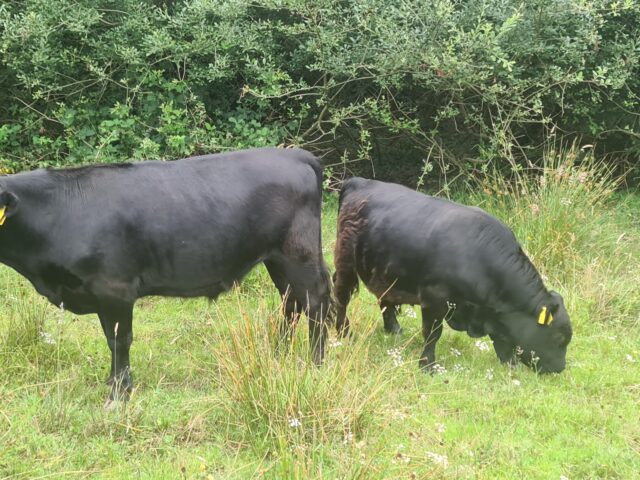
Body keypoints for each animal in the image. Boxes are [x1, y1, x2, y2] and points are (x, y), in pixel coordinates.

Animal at [0, 147, 332, 403]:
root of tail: (295, 154)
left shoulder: (114, 289)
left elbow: (119, 340)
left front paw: (119, 394)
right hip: (276, 259)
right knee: (291, 302)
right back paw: (277, 356)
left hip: (297, 253)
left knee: (314, 302)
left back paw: (314, 365)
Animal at [333, 177, 572, 373]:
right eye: (559, 338)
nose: (560, 368)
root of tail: (359, 181)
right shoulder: (434, 298)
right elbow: (432, 333)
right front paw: (427, 365)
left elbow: (502, 340)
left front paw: (509, 364)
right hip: (345, 263)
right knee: (342, 296)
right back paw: (344, 332)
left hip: (384, 270)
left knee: (384, 298)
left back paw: (393, 328)